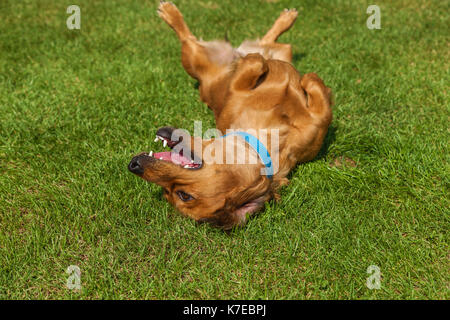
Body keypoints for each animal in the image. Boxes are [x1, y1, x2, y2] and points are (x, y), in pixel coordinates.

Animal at [128, 1, 332, 229]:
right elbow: (258, 65)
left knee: (271, 44)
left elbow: (310, 86)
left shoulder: (317, 123)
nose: (134, 165)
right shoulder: (236, 89)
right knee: (187, 38)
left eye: (182, 195)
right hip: (193, 58)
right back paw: (170, 12)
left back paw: (285, 20)